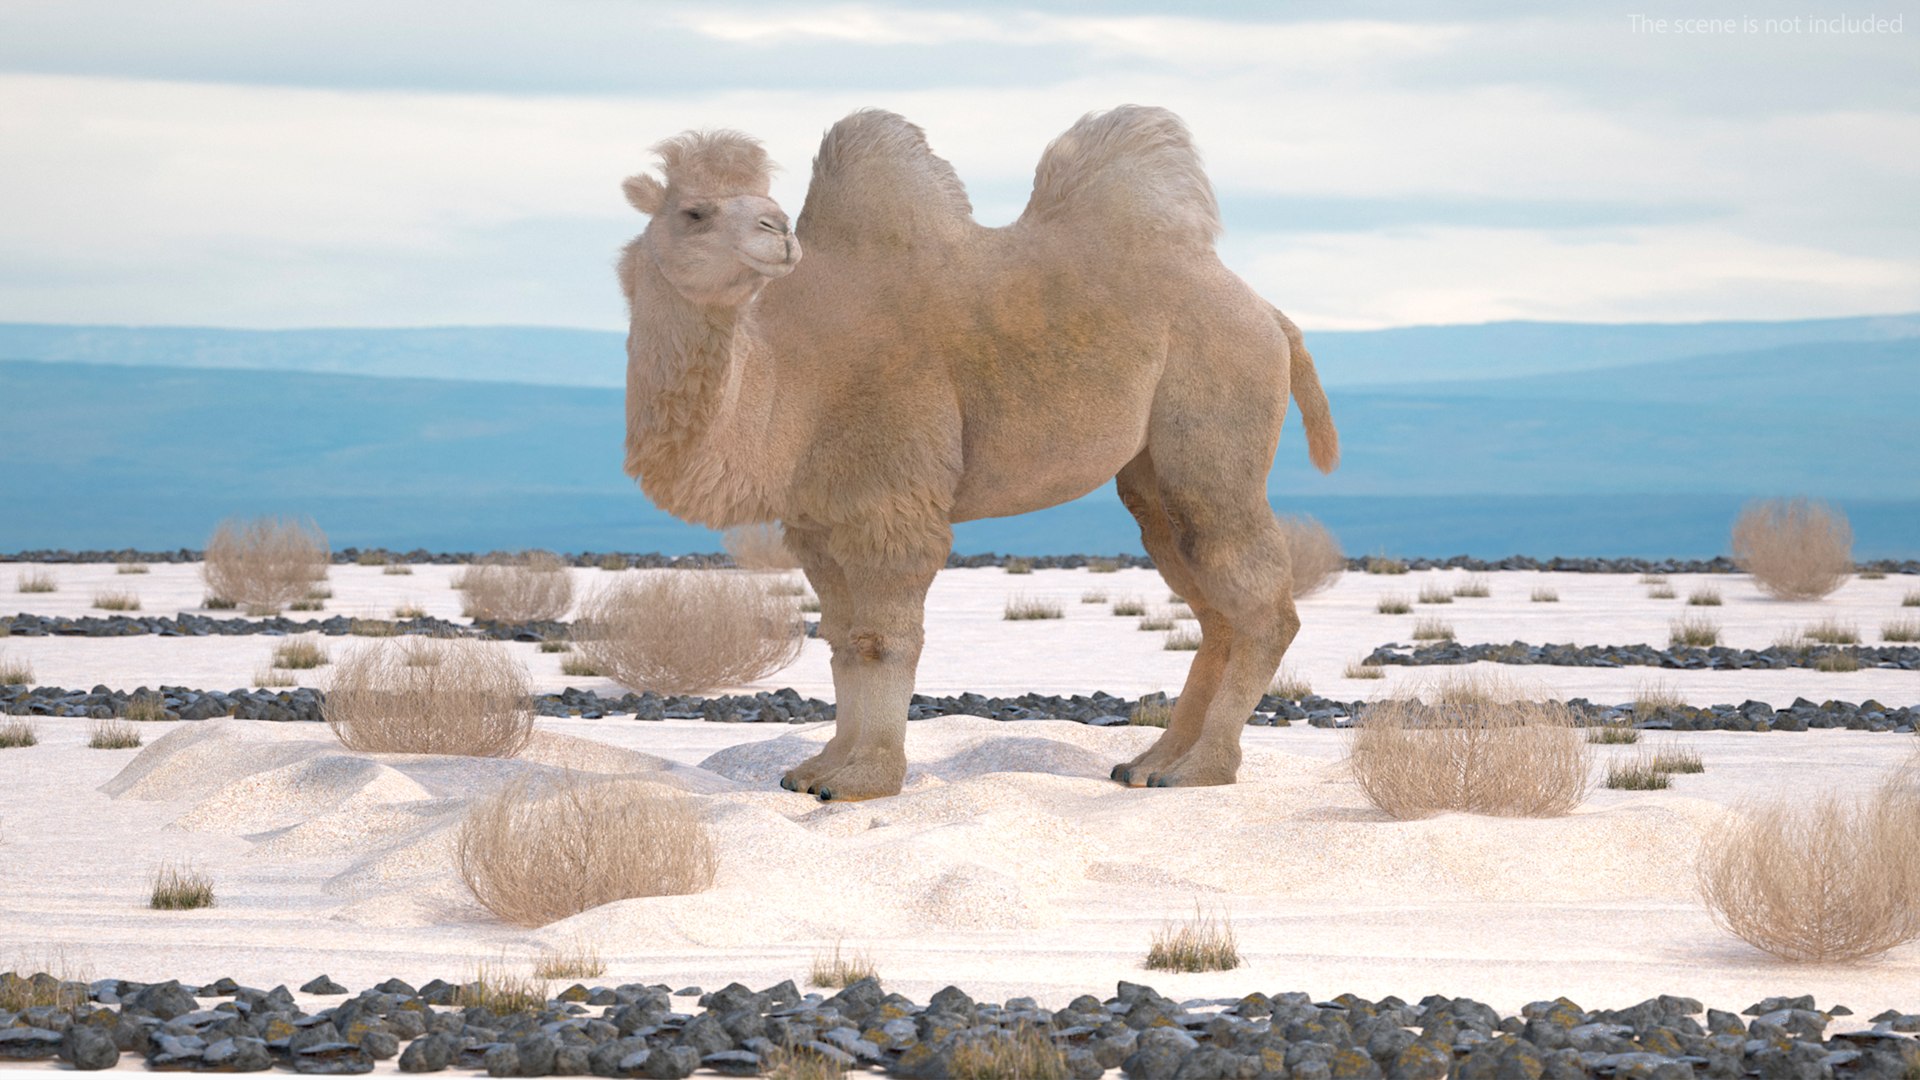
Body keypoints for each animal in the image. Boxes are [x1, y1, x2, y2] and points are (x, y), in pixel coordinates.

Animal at [617, 106, 1339, 801]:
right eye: (693, 212)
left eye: (769, 201)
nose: (777, 232)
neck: (790, 365)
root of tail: (1271, 315)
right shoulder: (817, 520)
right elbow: (843, 643)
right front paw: (816, 769)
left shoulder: (892, 500)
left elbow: (884, 641)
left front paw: (864, 780)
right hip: (1154, 474)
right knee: (1210, 599)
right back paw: (1153, 763)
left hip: (1217, 411)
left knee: (1257, 598)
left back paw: (1202, 768)